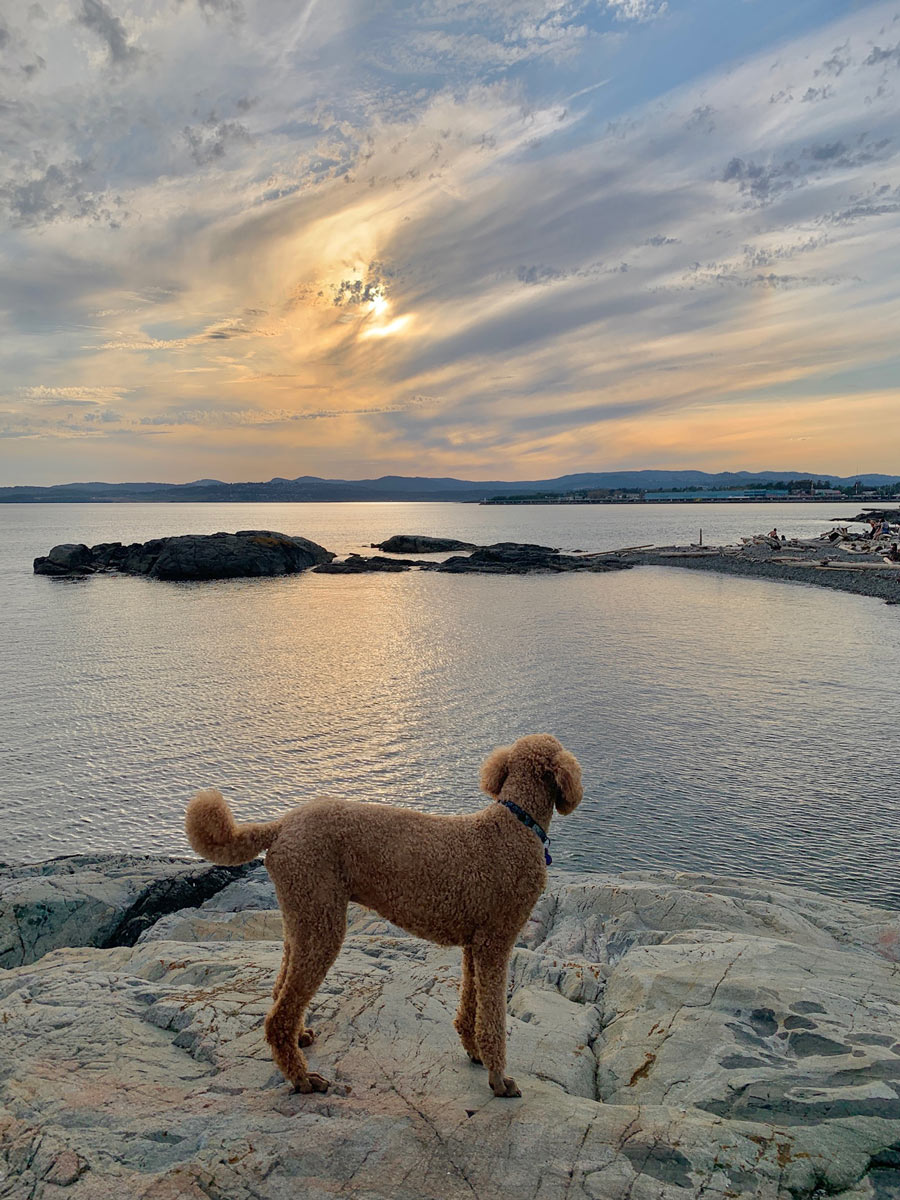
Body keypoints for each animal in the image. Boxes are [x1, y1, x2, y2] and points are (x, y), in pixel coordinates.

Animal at [187, 729, 588, 1099]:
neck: (515, 823)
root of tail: (282, 825)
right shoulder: (497, 942)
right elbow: (492, 1019)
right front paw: (499, 1080)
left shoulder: (475, 945)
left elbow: (470, 1008)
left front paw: (473, 1051)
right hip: (322, 922)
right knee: (278, 1017)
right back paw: (303, 1079)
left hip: (302, 914)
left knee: (280, 989)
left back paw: (299, 1041)